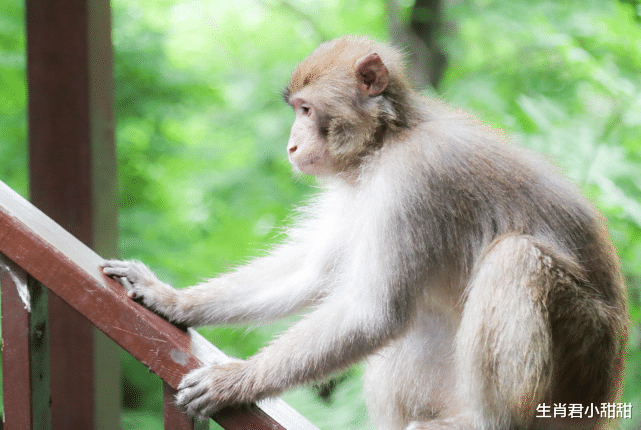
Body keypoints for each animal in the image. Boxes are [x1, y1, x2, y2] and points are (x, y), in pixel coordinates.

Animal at [102, 37, 628, 430]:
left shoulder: (413, 182)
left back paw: (490, 422)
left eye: (307, 110)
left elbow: (374, 312)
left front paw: (237, 380)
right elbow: (314, 273)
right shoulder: (357, 191)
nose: (291, 145)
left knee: (515, 257)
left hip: (582, 362)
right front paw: (172, 299)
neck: (386, 141)